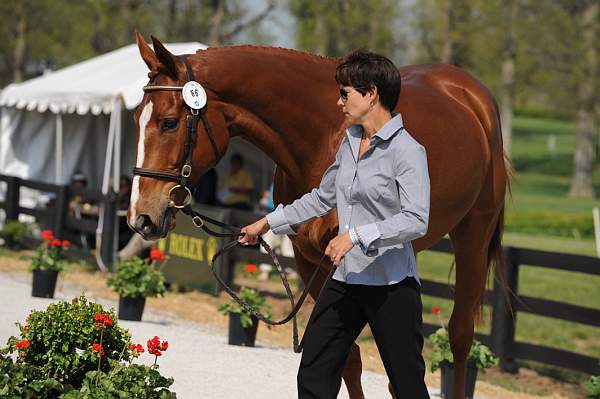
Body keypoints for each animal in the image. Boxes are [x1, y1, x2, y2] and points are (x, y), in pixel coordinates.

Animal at [130, 32, 506, 398]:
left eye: (169, 123)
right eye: (136, 120)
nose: (140, 217)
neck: (322, 134)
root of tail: (471, 94)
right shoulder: (310, 261)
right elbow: (347, 358)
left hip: (473, 239)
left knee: (459, 338)